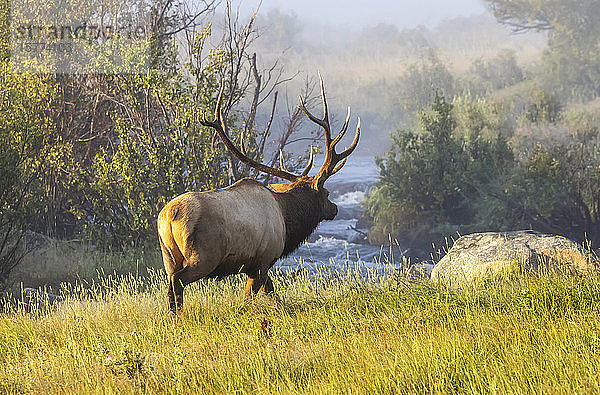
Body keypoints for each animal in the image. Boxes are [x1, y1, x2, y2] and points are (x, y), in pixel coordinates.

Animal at [157, 76, 358, 312]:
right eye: (326, 193)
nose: (335, 209)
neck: (287, 220)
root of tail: (170, 217)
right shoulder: (263, 259)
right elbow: (251, 296)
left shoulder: (256, 265)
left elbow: (272, 292)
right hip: (204, 256)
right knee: (178, 282)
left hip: (168, 256)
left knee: (170, 285)